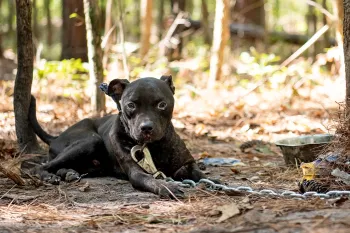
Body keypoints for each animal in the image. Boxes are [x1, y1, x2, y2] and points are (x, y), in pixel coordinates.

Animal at [29, 76, 208, 198]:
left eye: (162, 104)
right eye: (131, 105)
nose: (146, 127)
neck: (153, 146)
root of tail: (55, 137)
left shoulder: (187, 164)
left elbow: (202, 175)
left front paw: (212, 183)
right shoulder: (137, 173)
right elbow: (151, 180)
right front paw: (167, 187)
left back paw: (69, 173)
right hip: (90, 141)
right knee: (39, 167)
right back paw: (50, 176)